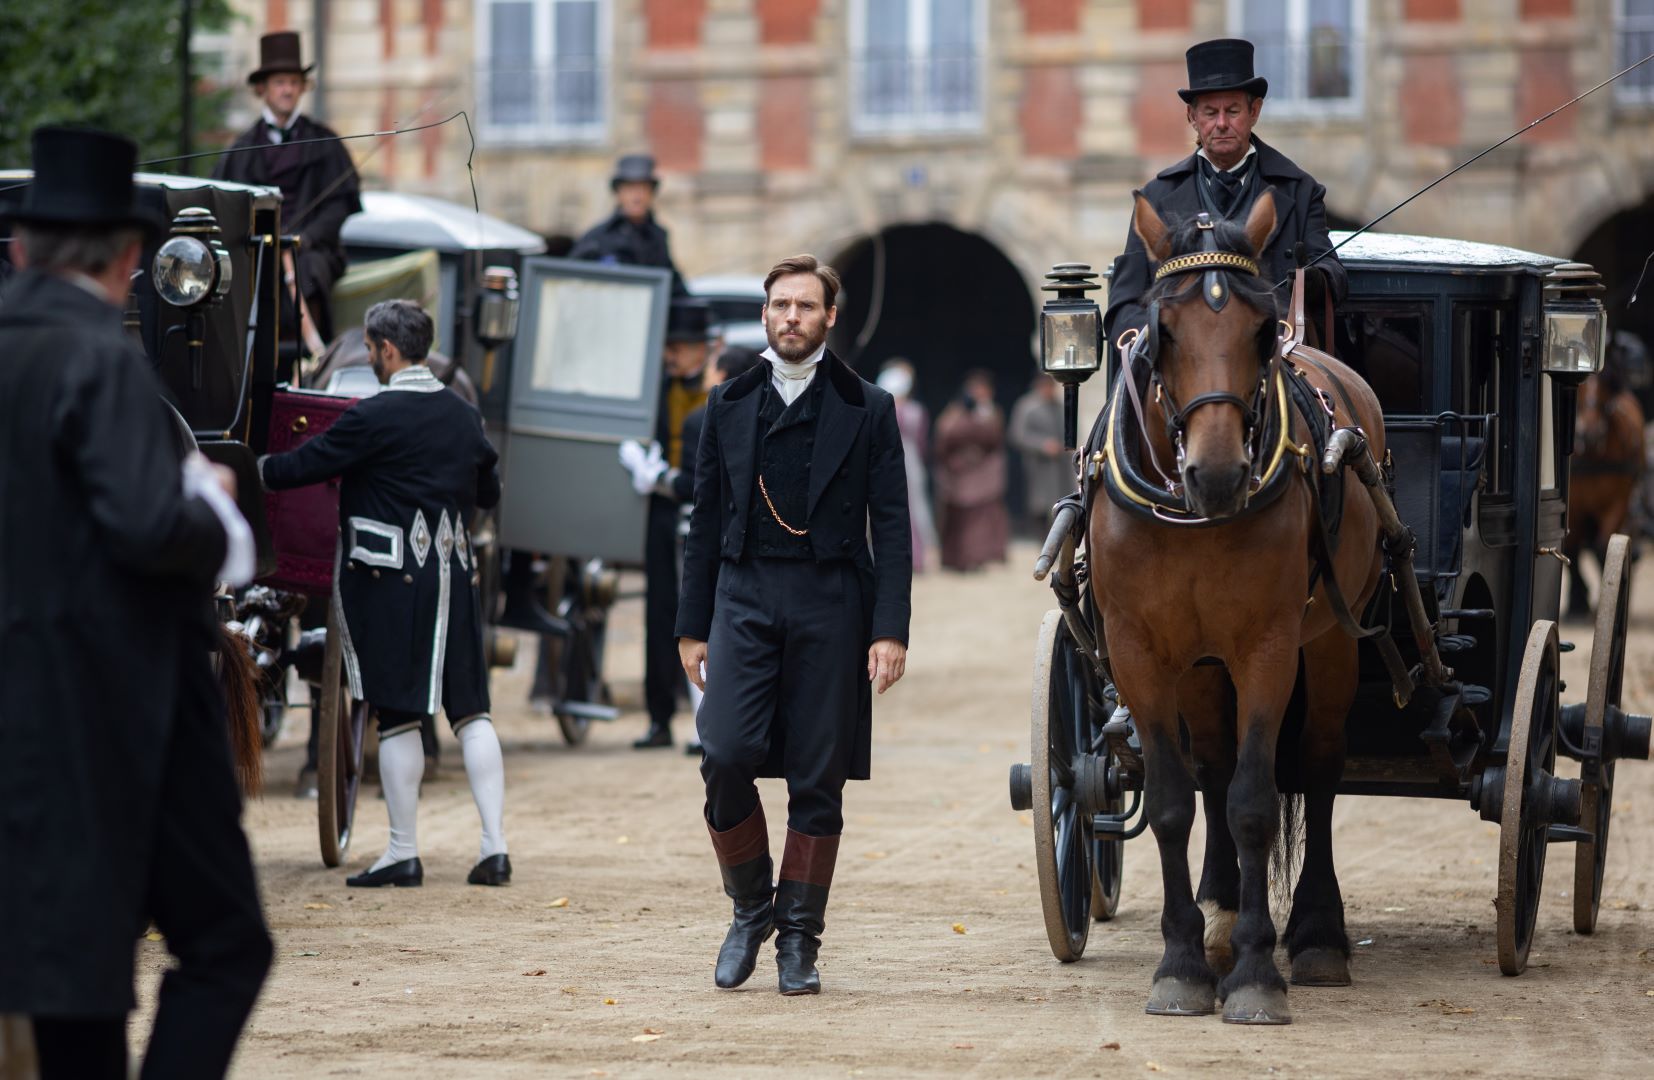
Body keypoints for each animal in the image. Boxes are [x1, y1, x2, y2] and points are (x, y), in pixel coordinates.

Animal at [1088, 193, 1387, 1024]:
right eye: (1162, 329)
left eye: (1260, 329)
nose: (1217, 473)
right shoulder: (1142, 652)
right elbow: (1173, 801)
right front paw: (1185, 962)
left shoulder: (1267, 646)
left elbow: (1255, 801)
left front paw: (1257, 971)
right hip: (1200, 665)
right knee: (1213, 769)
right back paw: (1219, 916)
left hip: (1331, 640)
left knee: (1318, 765)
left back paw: (1316, 933)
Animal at [1564, 364, 1644, 617]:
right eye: (1581, 386)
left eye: (1608, 385)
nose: (1588, 433)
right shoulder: (1575, 508)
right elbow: (1573, 549)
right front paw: (1577, 602)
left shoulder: (1618, 503)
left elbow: (1601, 548)